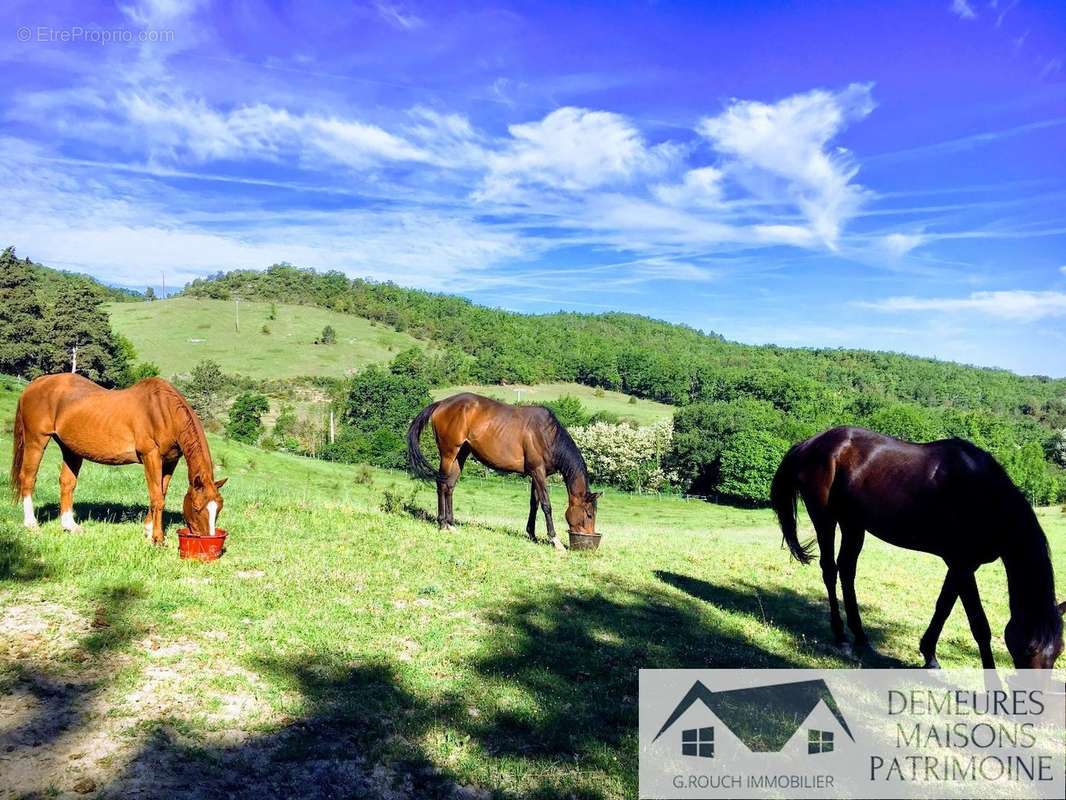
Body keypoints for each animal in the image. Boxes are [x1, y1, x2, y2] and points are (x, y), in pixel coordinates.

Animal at [9, 375, 227, 546]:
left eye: (219, 508)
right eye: (197, 507)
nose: (208, 538)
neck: (163, 410)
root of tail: (34, 385)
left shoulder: (170, 461)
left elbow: (160, 493)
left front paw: (148, 530)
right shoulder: (151, 456)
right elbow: (157, 497)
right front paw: (157, 538)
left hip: (70, 449)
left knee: (67, 484)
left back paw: (70, 526)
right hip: (36, 441)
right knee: (28, 479)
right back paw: (31, 524)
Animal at [402, 394, 601, 550]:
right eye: (589, 515)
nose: (589, 537)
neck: (547, 435)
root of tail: (442, 403)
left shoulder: (535, 475)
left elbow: (534, 504)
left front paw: (532, 535)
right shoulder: (538, 472)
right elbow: (546, 505)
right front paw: (555, 540)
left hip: (461, 455)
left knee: (450, 486)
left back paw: (451, 524)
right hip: (448, 453)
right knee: (441, 484)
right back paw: (442, 523)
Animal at [771, 428, 1061, 674]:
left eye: (1058, 652)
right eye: (1028, 649)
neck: (984, 496)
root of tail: (809, 443)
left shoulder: (961, 566)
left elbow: (944, 606)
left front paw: (929, 655)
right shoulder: (962, 564)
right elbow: (979, 625)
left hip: (853, 525)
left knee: (847, 570)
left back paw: (861, 637)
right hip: (825, 519)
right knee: (830, 571)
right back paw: (841, 636)